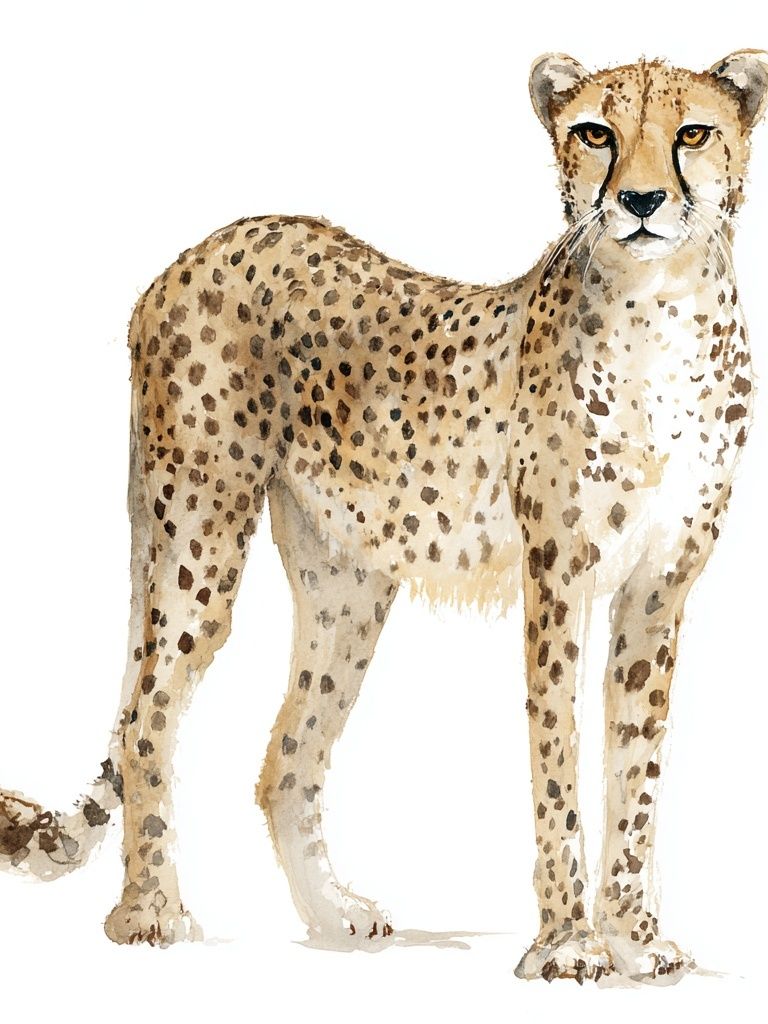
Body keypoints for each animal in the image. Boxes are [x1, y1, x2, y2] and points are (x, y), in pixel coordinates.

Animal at [1, 49, 766, 984]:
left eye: (692, 132)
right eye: (596, 133)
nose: (643, 201)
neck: (662, 308)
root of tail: (209, 245)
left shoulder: (660, 586)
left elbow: (638, 768)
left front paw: (635, 939)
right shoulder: (559, 577)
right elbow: (559, 764)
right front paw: (565, 946)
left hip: (348, 586)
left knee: (286, 760)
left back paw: (333, 915)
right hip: (198, 540)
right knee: (150, 715)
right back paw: (149, 913)